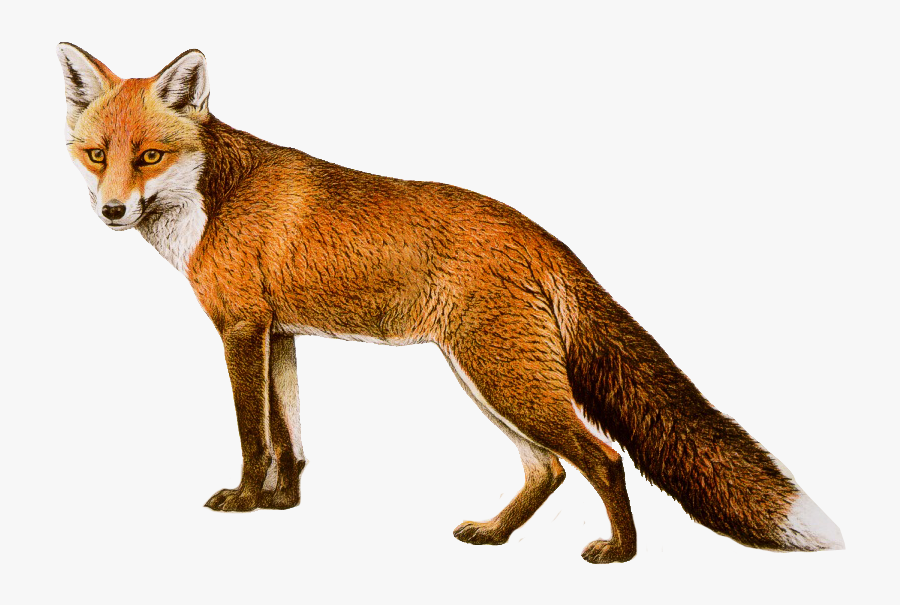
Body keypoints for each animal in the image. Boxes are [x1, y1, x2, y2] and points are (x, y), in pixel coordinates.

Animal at [57, 42, 844, 563]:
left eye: (150, 156)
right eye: (97, 154)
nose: (112, 211)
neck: (212, 201)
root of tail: (541, 235)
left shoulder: (241, 329)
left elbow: (255, 437)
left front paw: (247, 502)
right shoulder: (279, 334)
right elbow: (291, 438)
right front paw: (284, 504)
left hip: (503, 378)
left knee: (604, 457)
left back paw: (620, 553)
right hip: (485, 378)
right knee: (549, 469)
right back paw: (495, 535)